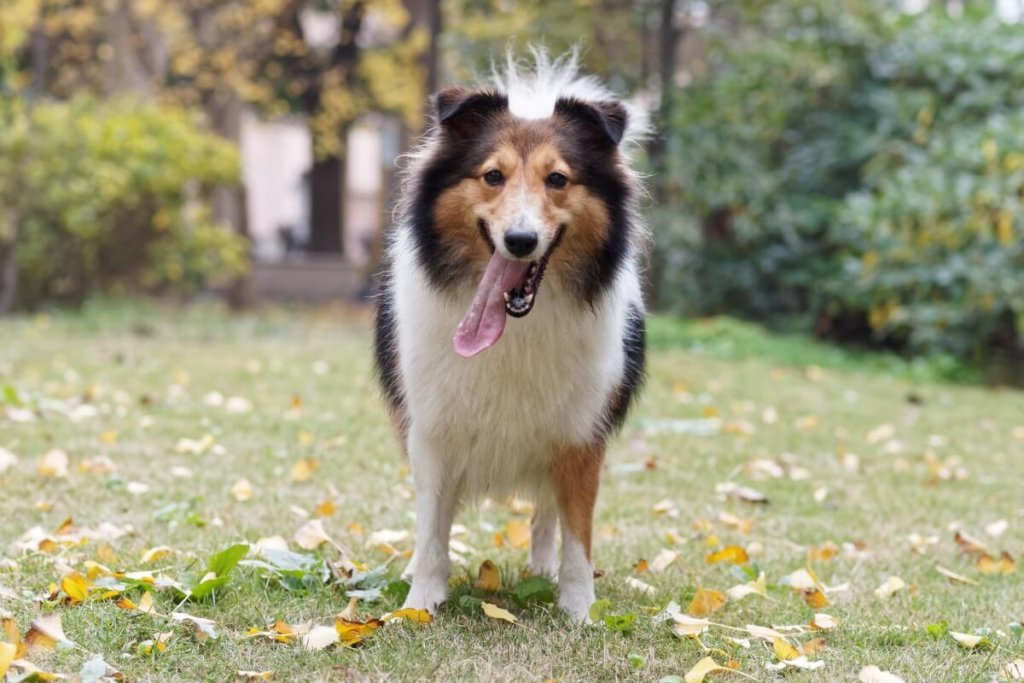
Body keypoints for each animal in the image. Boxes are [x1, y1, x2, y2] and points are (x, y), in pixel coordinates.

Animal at [374, 52, 647, 618]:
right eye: (493, 176)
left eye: (558, 179)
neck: (514, 328)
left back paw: (542, 570)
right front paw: (422, 598)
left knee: (547, 513)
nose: (520, 241)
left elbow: (577, 531)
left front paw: (578, 607)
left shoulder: (581, 434)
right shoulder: (430, 428)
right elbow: (431, 524)